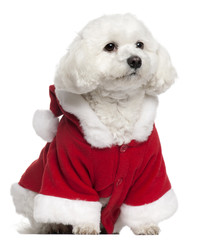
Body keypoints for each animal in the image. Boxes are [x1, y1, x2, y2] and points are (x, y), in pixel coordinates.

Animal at [10, 13, 178, 234]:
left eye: (140, 44)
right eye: (110, 46)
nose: (136, 60)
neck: (117, 105)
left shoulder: (150, 168)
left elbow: (145, 201)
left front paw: (145, 225)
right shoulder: (67, 168)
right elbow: (76, 201)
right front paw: (86, 227)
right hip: (32, 196)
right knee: (42, 218)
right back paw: (54, 227)